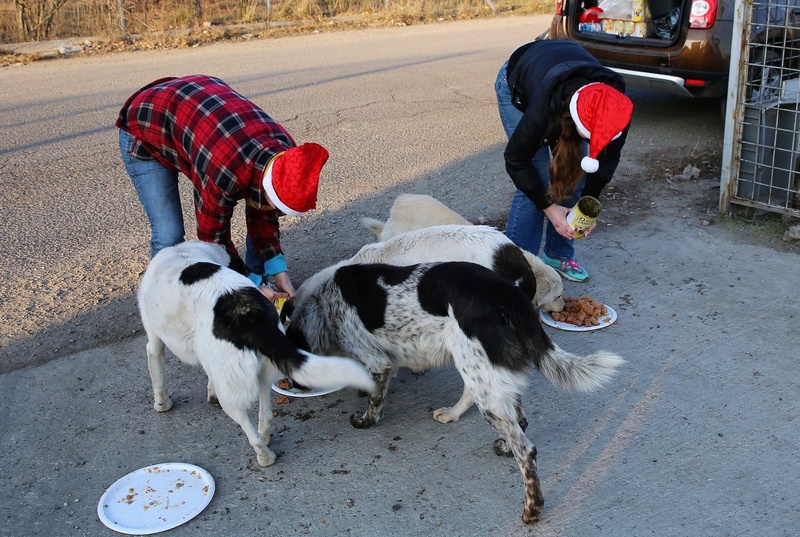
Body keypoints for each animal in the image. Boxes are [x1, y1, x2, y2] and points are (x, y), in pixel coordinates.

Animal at [137, 241, 376, 466]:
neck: (182, 251)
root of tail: (249, 315)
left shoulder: (154, 343)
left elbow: (157, 377)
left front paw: (162, 405)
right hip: (262, 372)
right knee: (266, 414)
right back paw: (266, 437)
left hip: (232, 393)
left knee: (249, 429)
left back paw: (264, 456)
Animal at [282, 260, 624, 524]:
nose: (294, 384)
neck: (325, 304)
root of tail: (508, 294)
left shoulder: (378, 362)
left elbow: (375, 399)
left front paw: (365, 419)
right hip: (482, 367)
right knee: (517, 419)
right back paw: (482, 432)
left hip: (477, 369)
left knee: (526, 450)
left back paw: (532, 509)